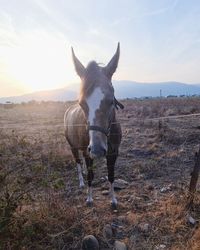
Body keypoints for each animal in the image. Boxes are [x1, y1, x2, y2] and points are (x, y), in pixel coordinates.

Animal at [64, 43, 123, 209]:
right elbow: (91, 175)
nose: (97, 150)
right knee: (78, 163)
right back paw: (81, 182)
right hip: (73, 147)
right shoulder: (87, 152)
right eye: (81, 103)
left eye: (110, 100)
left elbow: (111, 175)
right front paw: (89, 198)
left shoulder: (113, 152)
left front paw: (113, 199)